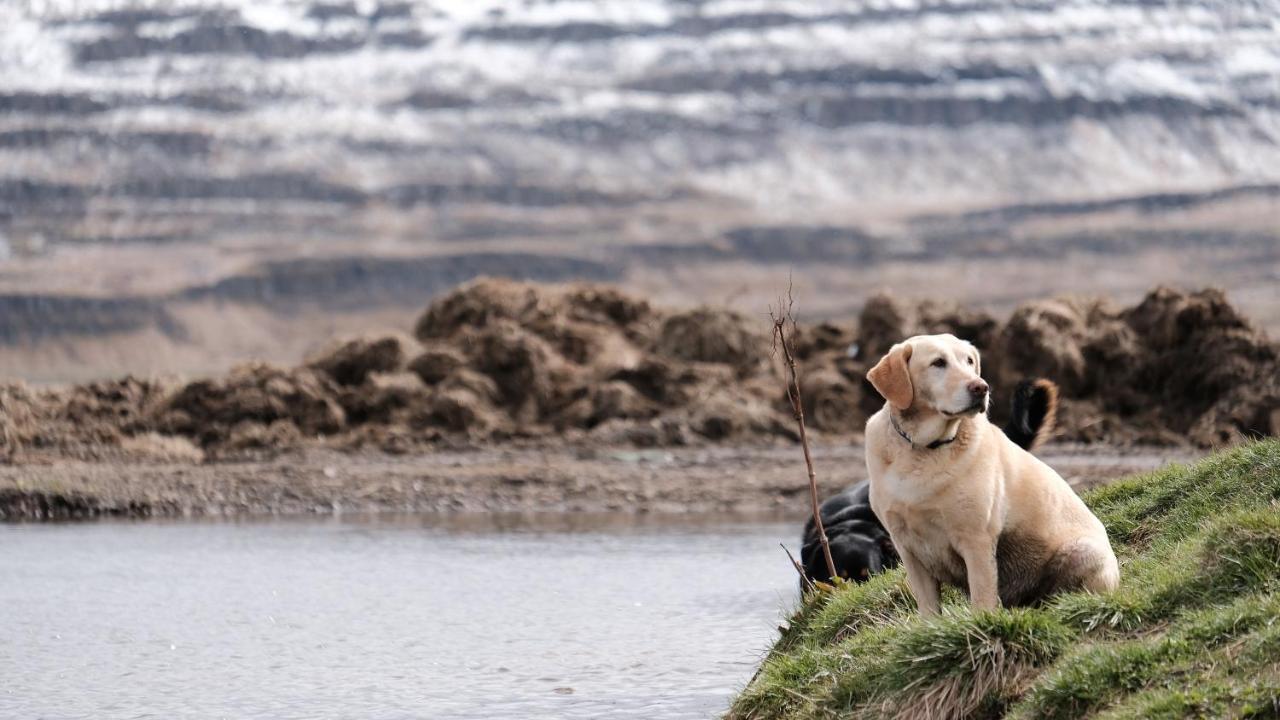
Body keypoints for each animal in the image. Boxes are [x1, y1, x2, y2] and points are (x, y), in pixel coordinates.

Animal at [865, 333, 1116, 609]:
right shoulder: (908, 548)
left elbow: (982, 600)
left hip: (1082, 552)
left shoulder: (976, 541)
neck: (923, 448)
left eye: (969, 360)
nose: (981, 387)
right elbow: (929, 609)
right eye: (938, 362)